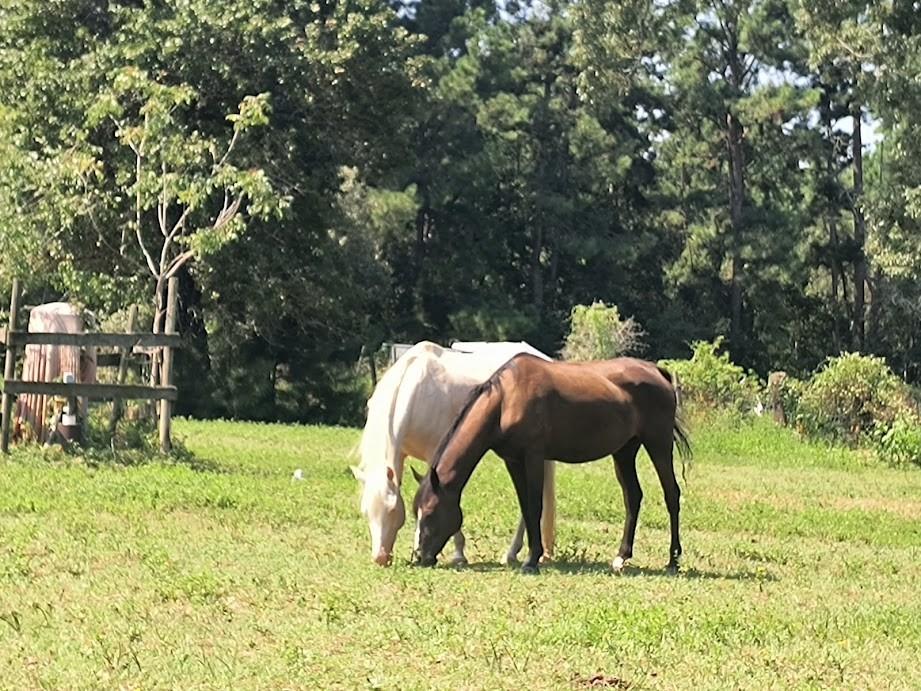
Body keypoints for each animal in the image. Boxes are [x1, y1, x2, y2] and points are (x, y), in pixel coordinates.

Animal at [350, 338, 552, 564]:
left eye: (393, 509)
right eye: (366, 511)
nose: (380, 558)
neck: (414, 391)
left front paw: (457, 555)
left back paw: (511, 554)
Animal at [412, 354, 688, 576]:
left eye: (430, 512)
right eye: (416, 512)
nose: (419, 557)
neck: (506, 400)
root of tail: (657, 372)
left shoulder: (533, 457)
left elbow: (535, 506)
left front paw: (532, 560)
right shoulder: (513, 461)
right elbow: (525, 507)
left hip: (658, 444)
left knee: (672, 495)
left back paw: (673, 561)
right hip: (624, 451)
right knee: (633, 497)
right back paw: (621, 557)